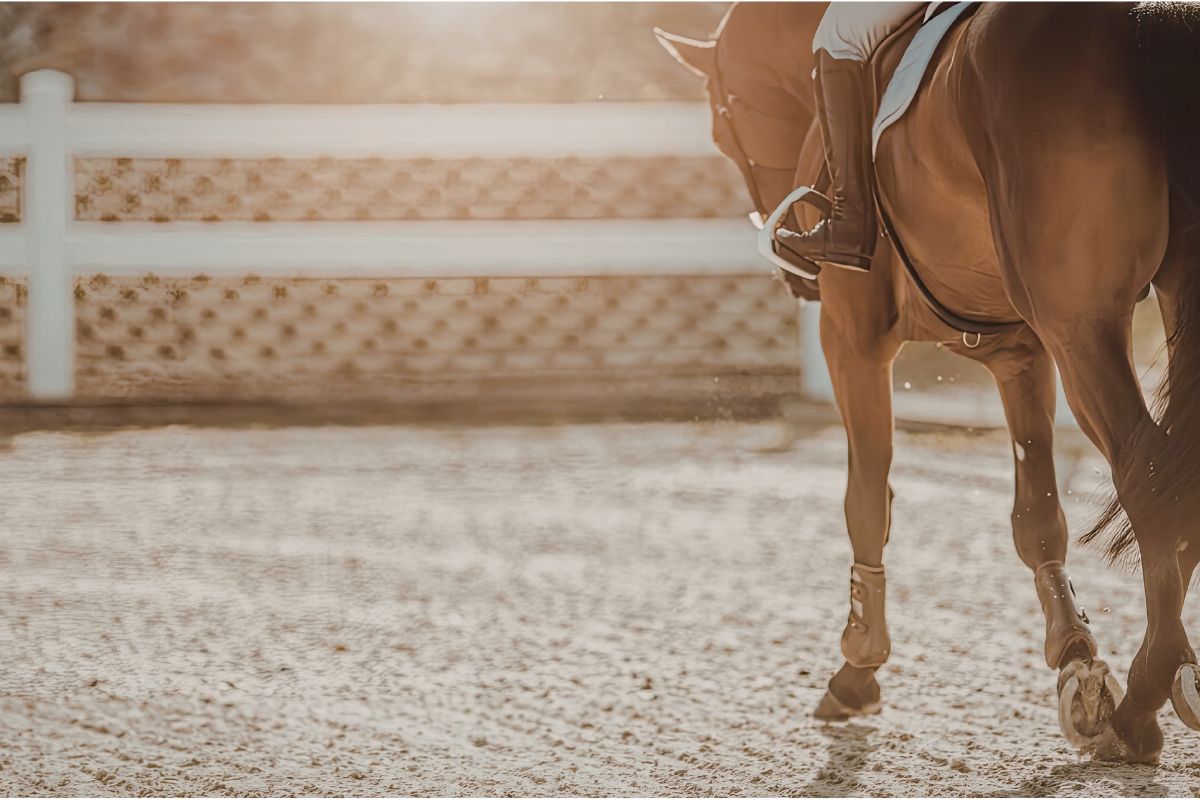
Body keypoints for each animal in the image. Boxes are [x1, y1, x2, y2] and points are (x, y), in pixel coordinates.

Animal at [656, 1, 1200, 764]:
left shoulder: (851, 340)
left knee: (1150, 479)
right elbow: (1037, 518)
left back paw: (1143, 703)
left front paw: (856, 667)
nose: (797, 276)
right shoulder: (1019, 352)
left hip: (1082, 327)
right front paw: (1075, 658)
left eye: (720, 119)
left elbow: (866, 500)